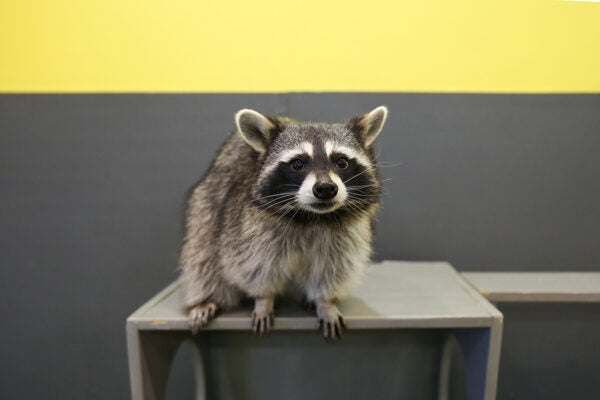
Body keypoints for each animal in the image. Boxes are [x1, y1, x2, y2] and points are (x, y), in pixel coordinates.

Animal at [177, 104, 390, 340]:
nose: (325, 188)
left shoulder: (347, 235)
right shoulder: (248, 228)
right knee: (202, 256)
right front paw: (264, 299)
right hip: (206, 205)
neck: (311, 216)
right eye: (298, 164)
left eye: (341, 162)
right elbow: (253, 265)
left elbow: (333, 269)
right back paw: (206, 299)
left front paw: (325, 302)